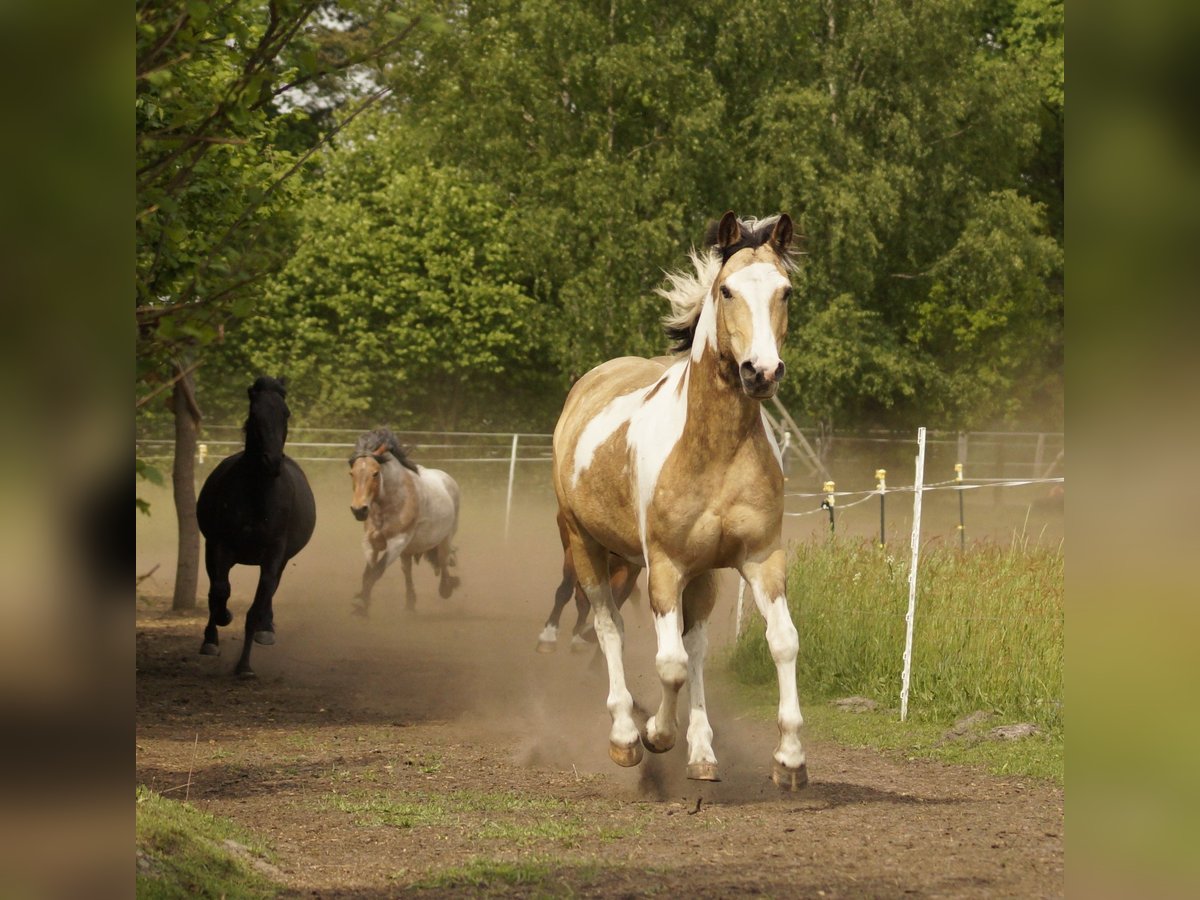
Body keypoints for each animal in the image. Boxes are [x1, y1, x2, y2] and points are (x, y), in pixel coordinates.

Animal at [194, 376, 314, 681]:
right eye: (255, 414)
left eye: (286, 413)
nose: (272, 462)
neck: (257, 493)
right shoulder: (220, 546)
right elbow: (220, 591)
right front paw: (219, 628)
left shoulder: (273, 554)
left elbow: (257, 605)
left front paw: (245, 667)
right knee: (216, 590)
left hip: (280, 559)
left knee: (270, 590)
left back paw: (266, 630)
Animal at [350, 427, 460, 614]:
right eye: (351, 473)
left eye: (375, 473)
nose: (359, 509)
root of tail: (449, 480)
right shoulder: (370, 542)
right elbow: (367, 574)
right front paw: (362, 605)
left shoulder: (397, 542)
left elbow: (376, 572)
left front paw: (361, 605)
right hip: (409, 550)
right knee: (407, 570)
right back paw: (410, 606)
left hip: (445, 538)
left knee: (444, 561)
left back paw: (446, 588)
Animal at [552, 211, 806, 787]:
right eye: (727, 289)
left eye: (786, 291)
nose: (762, 372)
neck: (715, 450)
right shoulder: (665, 566)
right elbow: (666, 663)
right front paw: (655, 735)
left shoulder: (760, 559)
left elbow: (781, 641)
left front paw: (789, 758)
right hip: (586, 548)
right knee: (609, 627)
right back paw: (626, 736)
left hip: (701, 573)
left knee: (695, 647)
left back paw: (703, 752)